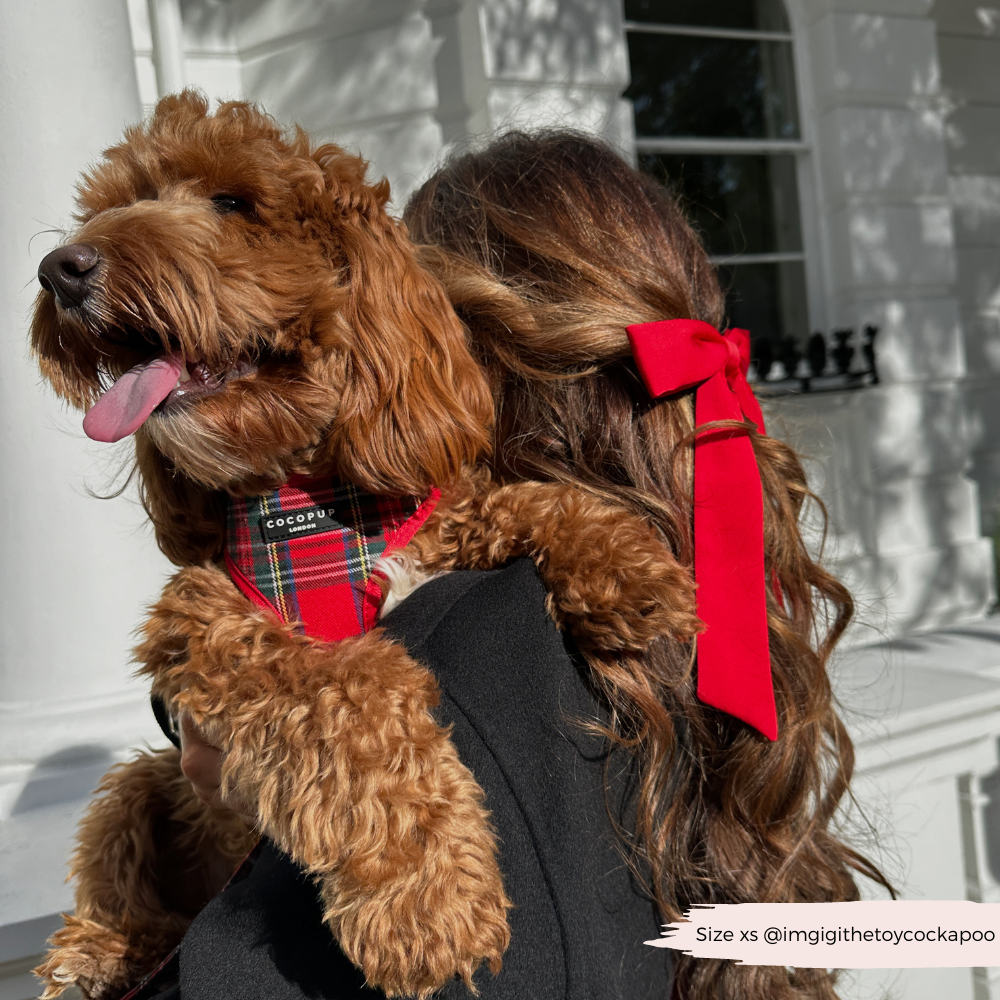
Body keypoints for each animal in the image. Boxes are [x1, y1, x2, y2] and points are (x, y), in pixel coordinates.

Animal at [29, 94, 696, 1000]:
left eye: (232, 203)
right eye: (113, 206)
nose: (59, 268)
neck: (313, 507)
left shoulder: (435, 529)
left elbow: (513, 500)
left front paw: (627, 566)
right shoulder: (206, 624)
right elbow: (347, 694)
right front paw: (428, 897)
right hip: (142, 787)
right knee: (116, 864)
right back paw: (99, 952)